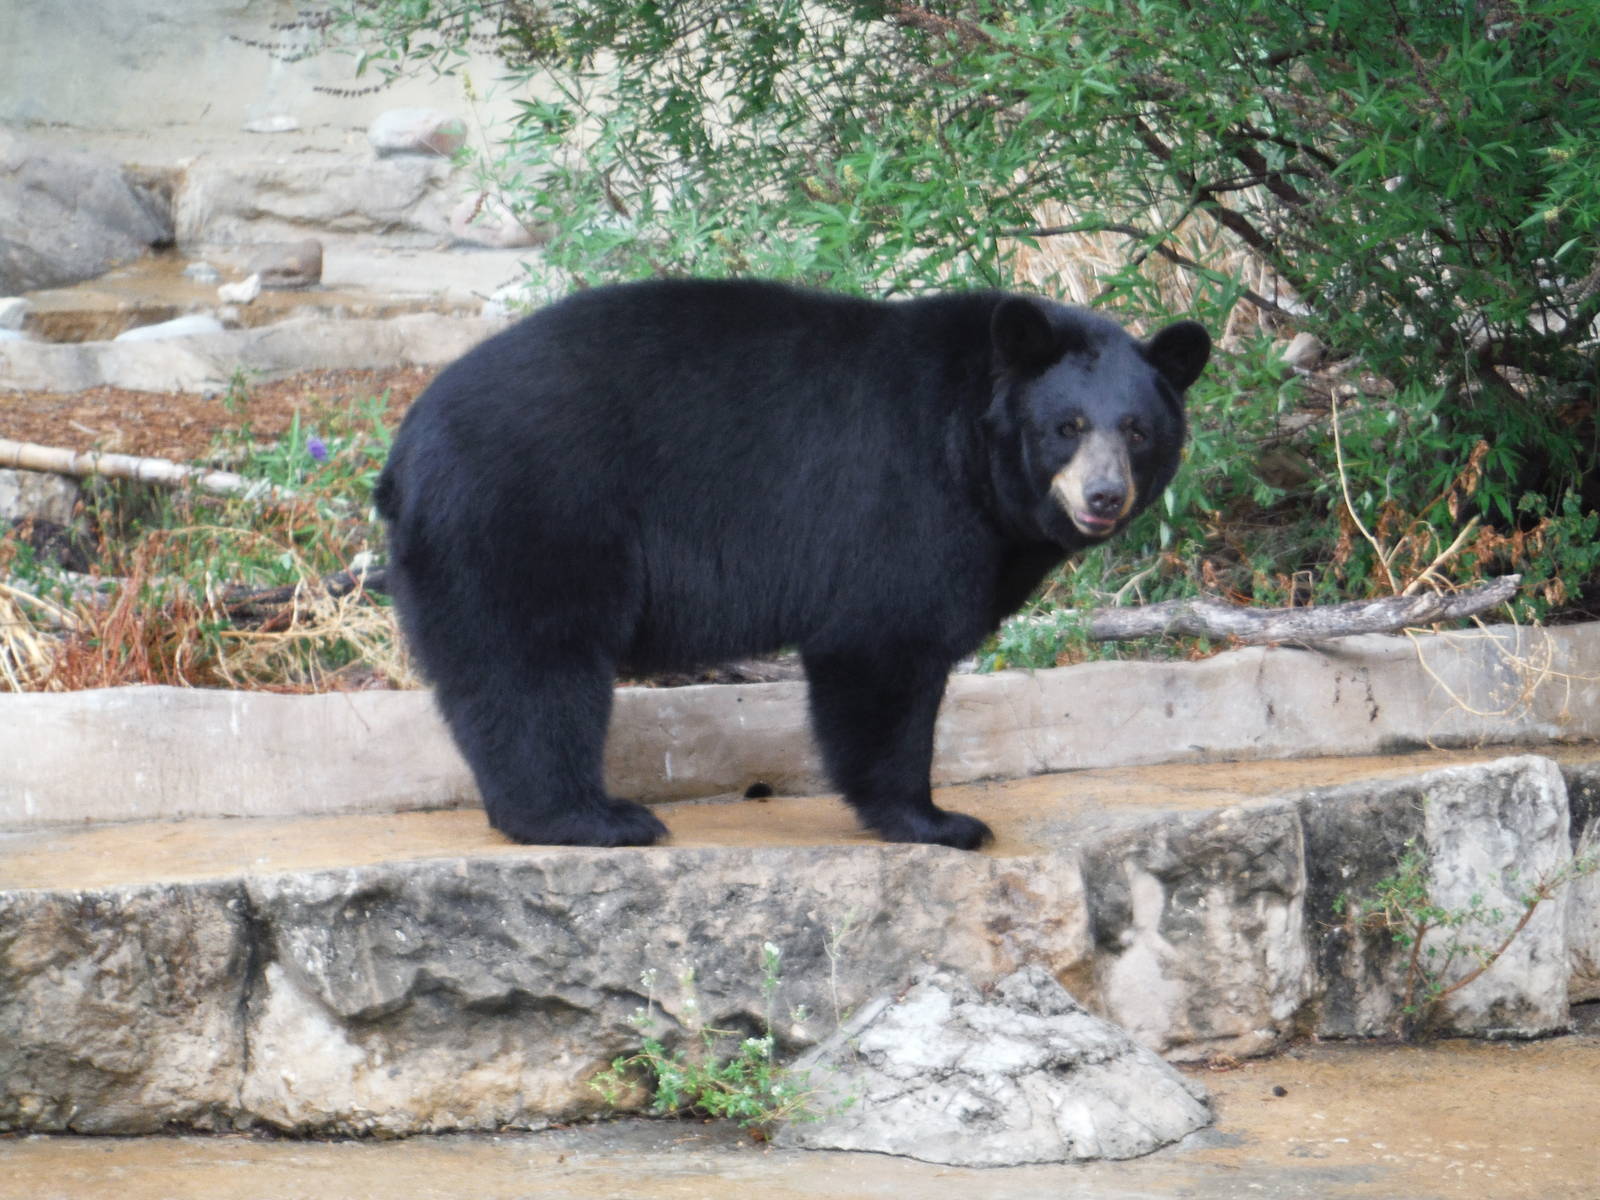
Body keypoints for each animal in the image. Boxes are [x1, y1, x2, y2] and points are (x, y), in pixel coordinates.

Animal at [375, 278, 1209, 850]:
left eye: (1137, 430)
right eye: (1068, 426)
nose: (1104, 496)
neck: (974, 449)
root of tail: (405, 449)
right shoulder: (902, 495)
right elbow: (884, 645)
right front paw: (939, 820)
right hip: (534, 515)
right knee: (534, 666)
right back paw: (591, 817)